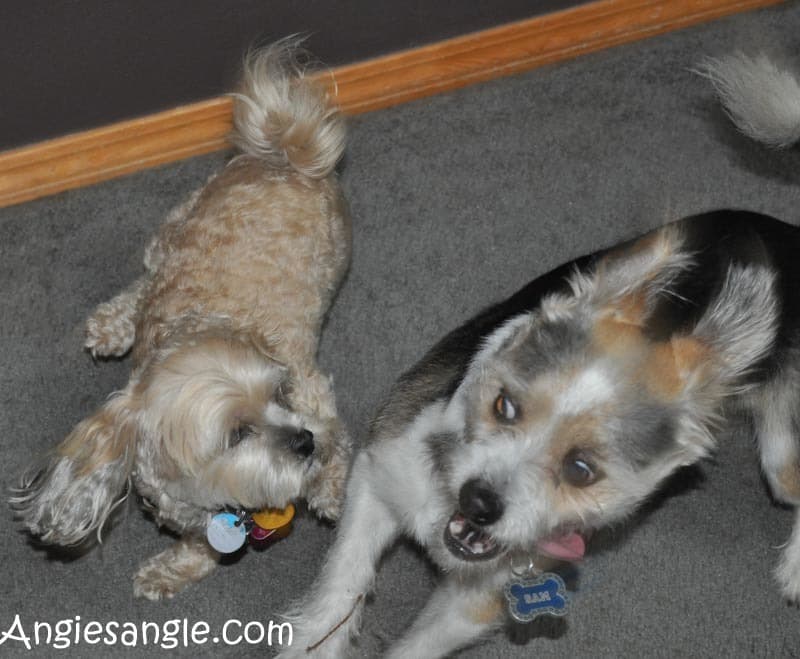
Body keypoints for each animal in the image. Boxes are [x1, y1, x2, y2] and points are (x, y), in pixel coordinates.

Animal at [280, 52, 800, 659]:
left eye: (581, 469)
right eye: (504, 406)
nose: (479, 502)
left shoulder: (482, 595)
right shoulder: (378, 477)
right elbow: (341, 588)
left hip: (781, 452)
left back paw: (794, 568)